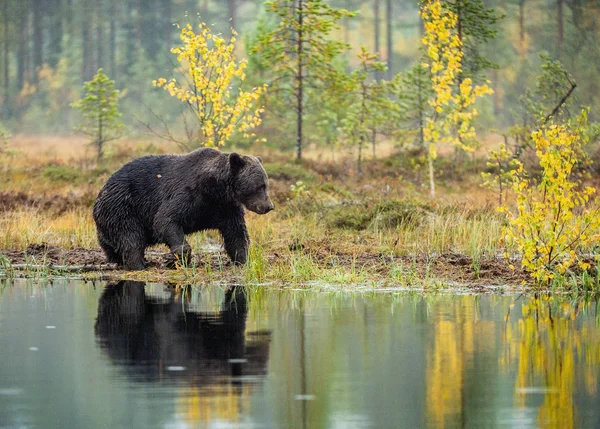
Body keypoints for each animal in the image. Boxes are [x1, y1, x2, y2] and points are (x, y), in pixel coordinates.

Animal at [94, 147, 274, 268]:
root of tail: (101, 190)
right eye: (260, 186)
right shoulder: (188, 195)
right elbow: (166, 220)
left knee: (113, 245)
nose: (269, 206)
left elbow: (236, 234)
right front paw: (174, 258)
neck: (215, 189)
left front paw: (245, 260)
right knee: (131, 238)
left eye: (266, 184)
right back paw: (138, 264)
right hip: (122, 207)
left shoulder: (226, 208)